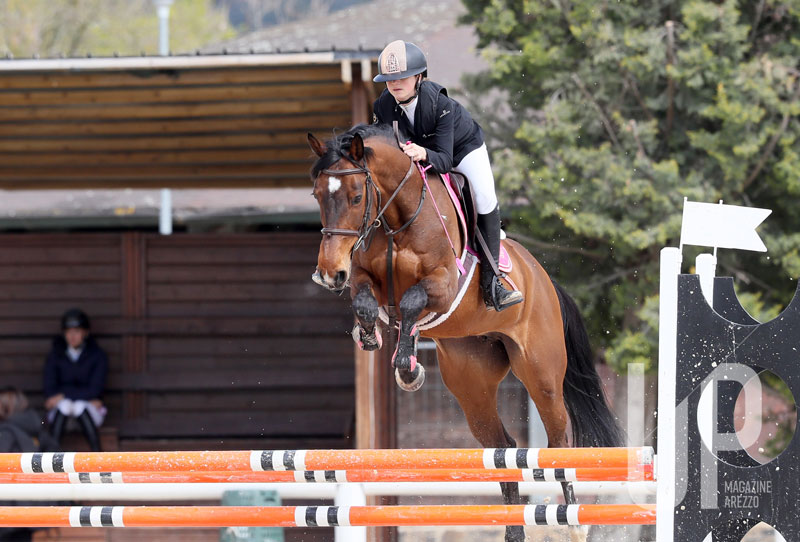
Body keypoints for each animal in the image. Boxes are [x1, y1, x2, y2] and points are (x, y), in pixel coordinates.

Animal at [308, 123, 624, 542]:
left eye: (357, 196)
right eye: (316, 195)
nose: (329, 274)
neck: (395, 221)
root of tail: (543, 279)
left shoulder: (442, 285)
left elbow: (411, 301)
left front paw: (407, 367)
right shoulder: (362, 276)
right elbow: (365, 302)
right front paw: (374, 339)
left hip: (541, 374)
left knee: (558, 443)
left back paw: (571, 525)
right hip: (472, 384)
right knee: (503, 449)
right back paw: (514, 531)